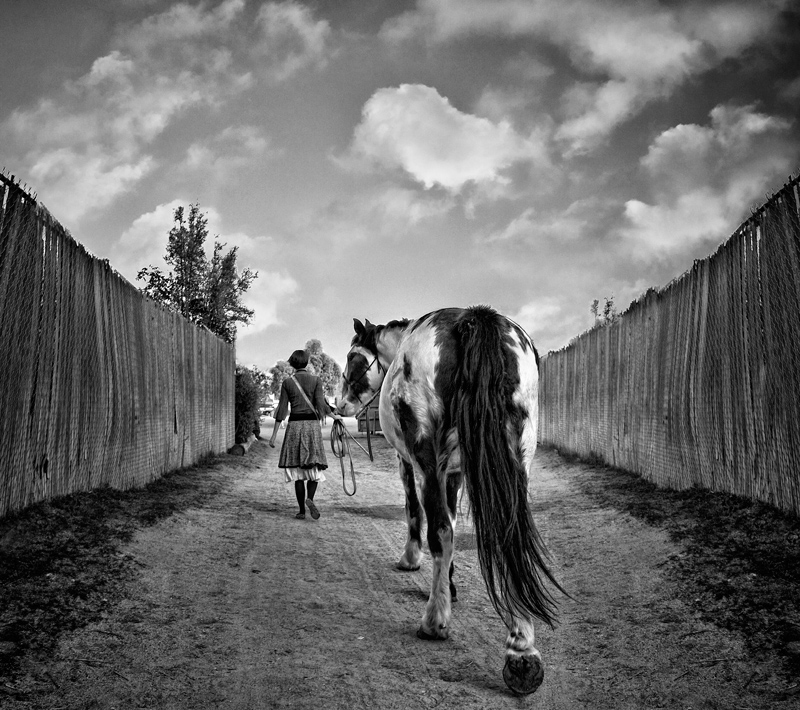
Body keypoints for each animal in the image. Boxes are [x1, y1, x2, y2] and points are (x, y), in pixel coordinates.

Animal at [334, 304, 564, 696]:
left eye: (353, 357)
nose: (341, 403)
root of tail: (472, 318)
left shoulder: (414, 463)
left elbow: (421, 515)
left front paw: (414, 562)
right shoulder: (455, 470)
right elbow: (454, 523)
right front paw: (451, 584)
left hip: (427, 457)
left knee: (439, 531)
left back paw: (434, 621)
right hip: (518, 457)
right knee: (508, 536)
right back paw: (522, 652)